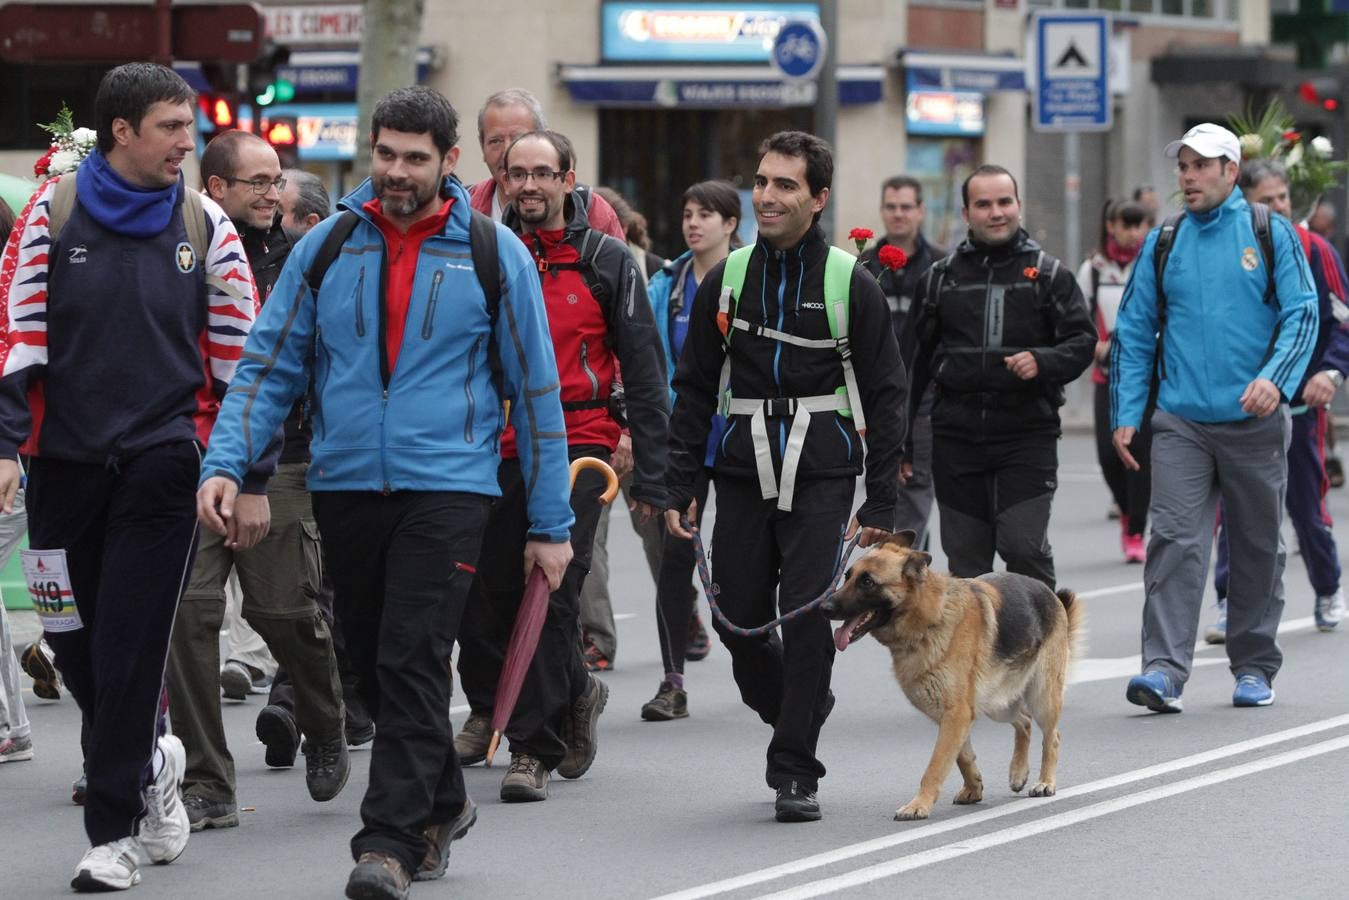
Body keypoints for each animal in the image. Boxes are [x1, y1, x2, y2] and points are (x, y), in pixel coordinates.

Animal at [814, 531, 1079, 820]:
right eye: (847, 576)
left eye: (867, 582)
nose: (824, 607)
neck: (930, 619)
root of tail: (1047, 591)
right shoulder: (952, 714)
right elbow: (961, 756)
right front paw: (974, 787)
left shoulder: (957, 713)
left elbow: (936, 764)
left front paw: (918, 805)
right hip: (997, 704)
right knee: (1024, 721)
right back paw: (1018, 772)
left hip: (1042, 697)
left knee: (1051, 737)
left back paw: (1045, 782)